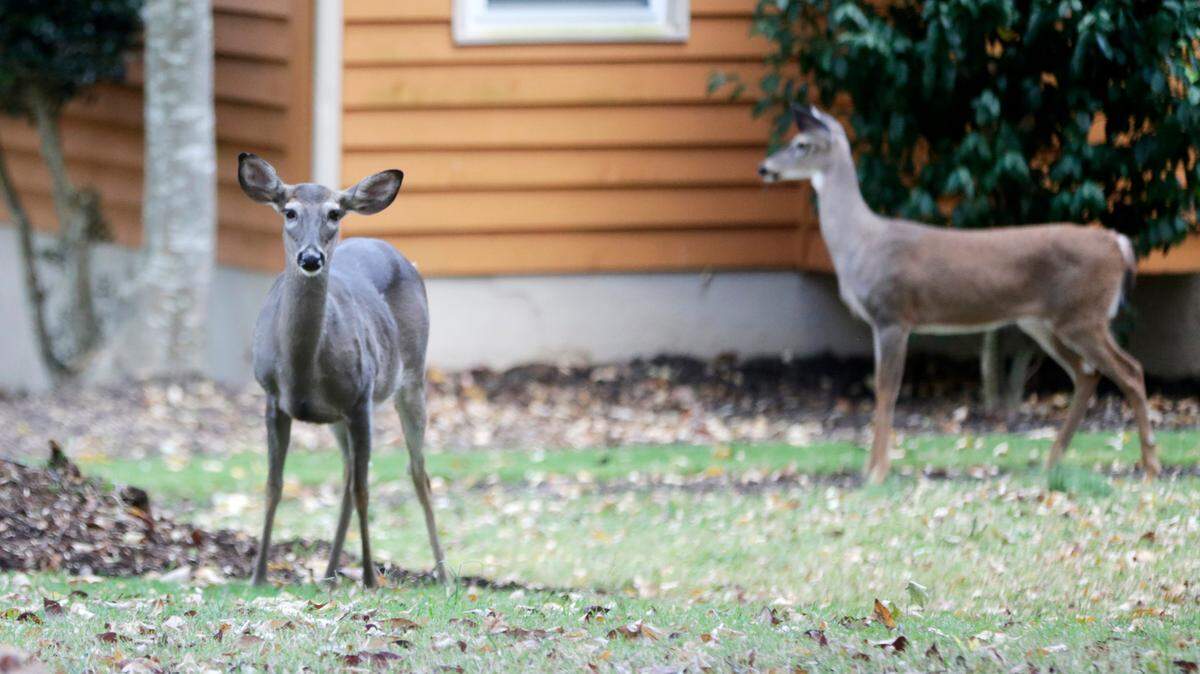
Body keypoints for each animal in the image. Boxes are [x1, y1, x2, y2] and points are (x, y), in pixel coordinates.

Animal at [237, 153, 447, 587]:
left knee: (417, 473)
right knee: (349, 474)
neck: (301, 368)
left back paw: (444, 576)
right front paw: (258, 576)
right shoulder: (272, 398)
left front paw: (369, 578)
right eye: (289, 211)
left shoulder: (360, 400)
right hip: (335, 417)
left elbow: (366, 490)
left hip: (412, 376)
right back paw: (330, 572)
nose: (311, 258)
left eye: (334, 213)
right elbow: (273, 486)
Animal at [758, 106, 1160, 485]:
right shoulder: (877, 323)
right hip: (1044, 322)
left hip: (1083, 316)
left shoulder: (894, 315)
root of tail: (1118, 243)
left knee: (1130, 371)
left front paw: (878, 472)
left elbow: (888, 390)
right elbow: (880, 389)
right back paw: (1052, 462)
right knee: (1087, 374)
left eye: (802, 144)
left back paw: (1150, 466)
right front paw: (869, 469)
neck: (861, 243)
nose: (764, 168)